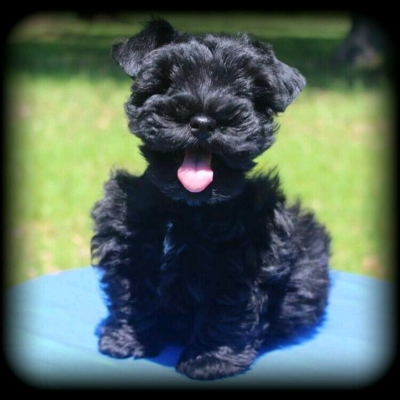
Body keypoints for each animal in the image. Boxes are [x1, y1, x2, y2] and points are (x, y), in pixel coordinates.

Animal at [91, 19, 332, 382]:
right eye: (166, 82)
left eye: (243, 91)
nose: (204, 121)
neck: (186, 209)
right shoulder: (128, 243)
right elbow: (132, 295)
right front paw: (126, 341)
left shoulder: (241, 262)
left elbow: (227, 311)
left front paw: (209, 360)